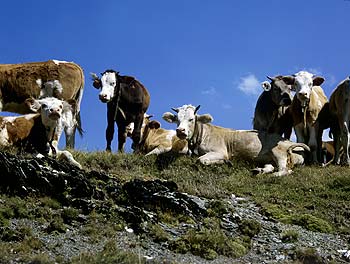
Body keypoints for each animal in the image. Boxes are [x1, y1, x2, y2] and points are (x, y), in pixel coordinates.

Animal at [162, 104, 308, 176]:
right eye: (177, 120)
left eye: (191, 119)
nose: (180, 131)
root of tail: (291, 142)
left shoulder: (220, 151)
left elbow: (201, 160)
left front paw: (225, 162)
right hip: (269, 158)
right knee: (272, 166)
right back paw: (258, 171)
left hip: (279, 152)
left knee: (285, 171)